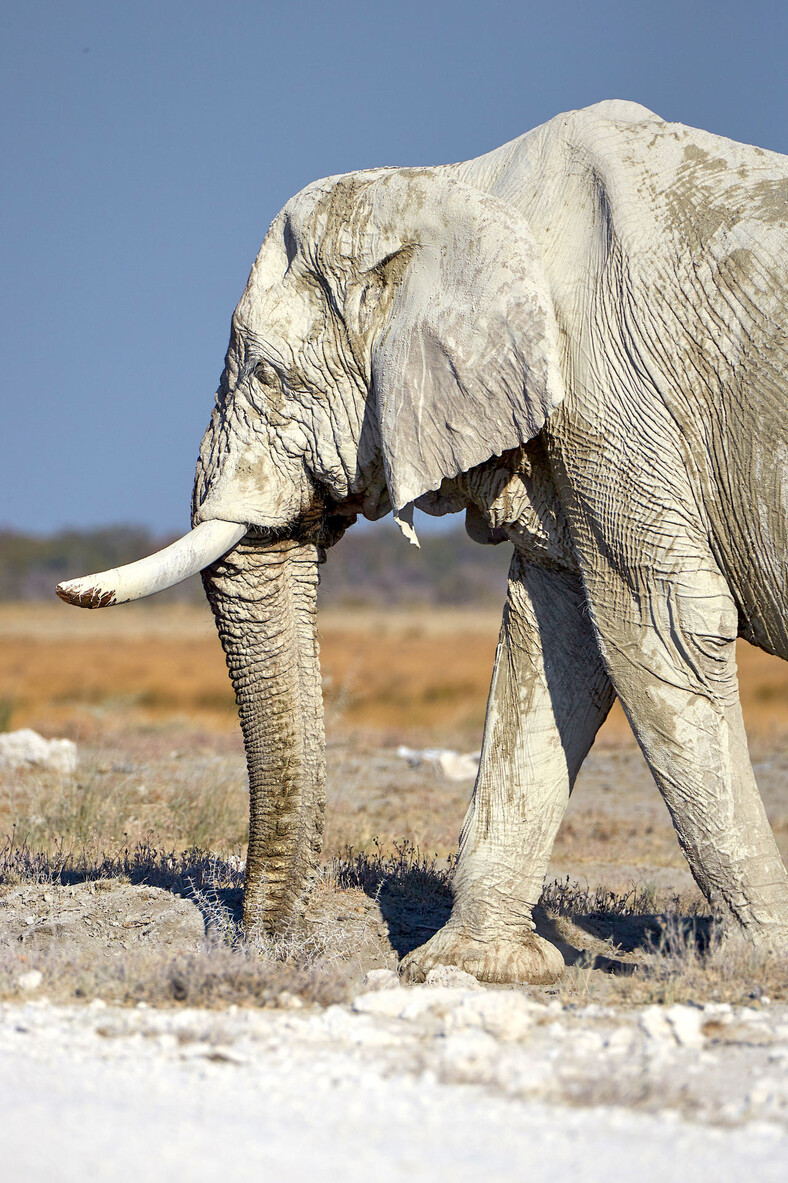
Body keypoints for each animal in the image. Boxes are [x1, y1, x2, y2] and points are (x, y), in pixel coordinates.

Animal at [59, 101, 785, 984]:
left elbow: (664, 623)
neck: (457, 187)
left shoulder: (613, 388)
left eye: (266, 375)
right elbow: (552, 641)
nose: (268, 945)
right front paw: (471, 967)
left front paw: (755, 964)